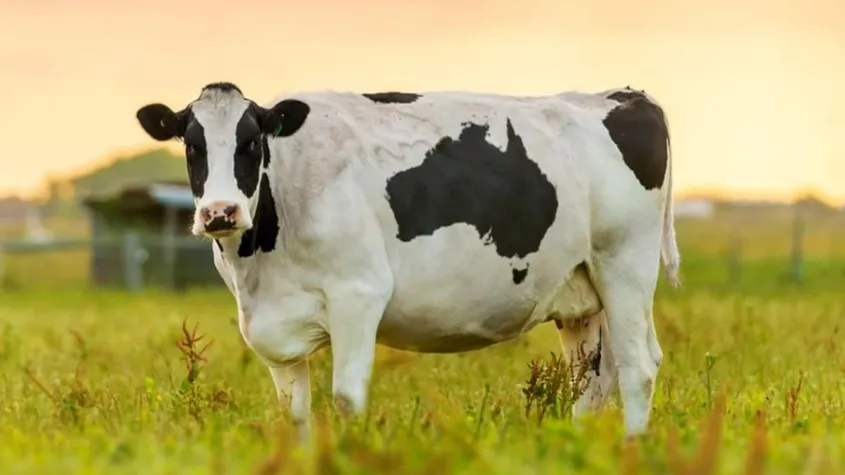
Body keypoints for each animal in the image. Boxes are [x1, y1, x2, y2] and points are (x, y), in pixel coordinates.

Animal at [134, 82, 680, 440]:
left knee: (637, 366)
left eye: (251, 142)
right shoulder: (274, 328)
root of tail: (623, 94)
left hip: (625, 265)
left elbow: (347, 398)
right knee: (591, 377)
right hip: (581, 292)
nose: (219, 212)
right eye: (191, 145)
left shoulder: (358, 294)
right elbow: (294, 413)